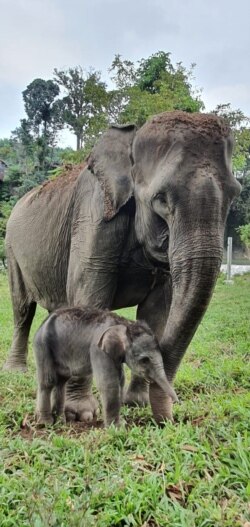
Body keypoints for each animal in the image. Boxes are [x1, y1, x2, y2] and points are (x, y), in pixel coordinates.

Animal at [34, 308, 178, 426]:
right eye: (144, 360)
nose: (177, 402)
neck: (125, 324)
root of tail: (43, 323)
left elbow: (120, 381)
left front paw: (121, 424)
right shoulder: (98, 349)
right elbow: (109, 383)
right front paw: (117, 428)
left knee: (61, 382)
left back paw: (60, 421)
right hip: (43, 345)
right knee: (48, 381)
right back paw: (46, 423)